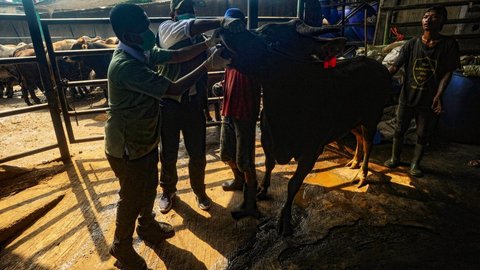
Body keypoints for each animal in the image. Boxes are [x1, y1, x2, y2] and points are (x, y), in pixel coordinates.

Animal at [219, 19, 392, 235]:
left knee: (368, 143)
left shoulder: (312, 152)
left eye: (271, 37)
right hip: (352, 120)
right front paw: (262, 190)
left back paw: (362, 174)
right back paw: (354, 161)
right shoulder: (268, 140)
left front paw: (284, 220)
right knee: (359, 137)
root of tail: (379, 66)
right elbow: (269, 165)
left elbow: (293, 184)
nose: (224, 29)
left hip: (371, 117)